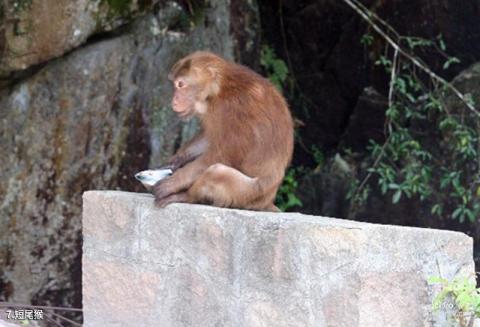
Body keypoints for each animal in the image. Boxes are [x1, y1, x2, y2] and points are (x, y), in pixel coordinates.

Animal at [154, 50, 294, 211]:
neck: (218, 92)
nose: (174, 101)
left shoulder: (235, 109)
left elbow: (222, 155)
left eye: (180, 84)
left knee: (217, 171)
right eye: (175, 85)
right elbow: (211, 138)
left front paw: (174, 181)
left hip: (249, 196)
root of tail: (268, 200)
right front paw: (175, 161)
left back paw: (186, 196)